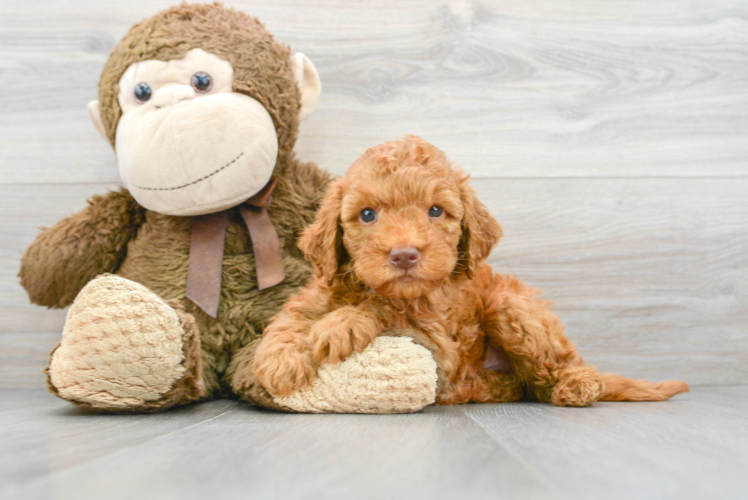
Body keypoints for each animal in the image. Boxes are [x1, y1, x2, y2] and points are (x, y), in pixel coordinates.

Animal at [253, 137, 688, 406]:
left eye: (435, 211)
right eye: (367, 215)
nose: (404, 255)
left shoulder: (439, 339)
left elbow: (386, 309)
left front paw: (342, 323)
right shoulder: (321, 289)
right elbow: (290, 319)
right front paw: (278, 361)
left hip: (511, 307)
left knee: (556, 370)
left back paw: (577, 383)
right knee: (521, 386)